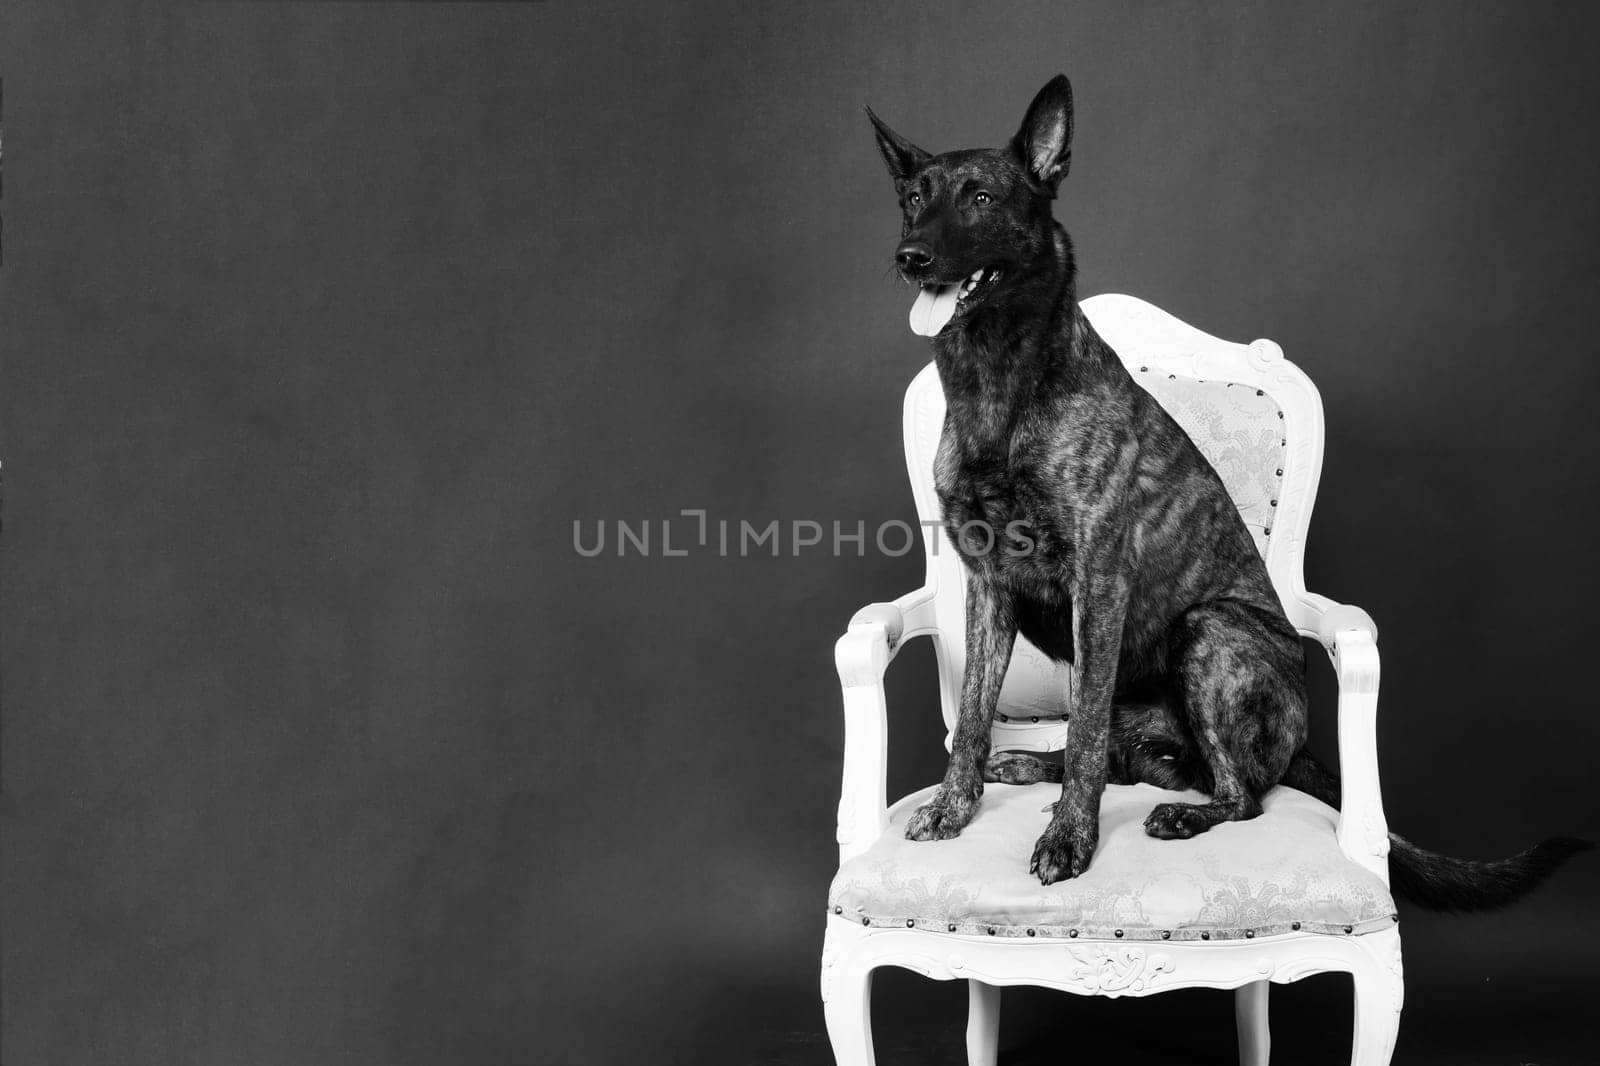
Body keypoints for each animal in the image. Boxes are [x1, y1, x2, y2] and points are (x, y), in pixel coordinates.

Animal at [870, 74, 1593, 896]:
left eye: (983, 198)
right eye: (913, 198)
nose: (910, 256)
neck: (1000, 382)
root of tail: (1302, 741)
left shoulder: (1099, 584)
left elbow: (1081, 733)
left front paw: (1068, 841)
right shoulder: (989, 588)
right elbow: (973, 716)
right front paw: (954, 806)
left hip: (1209, 633)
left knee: (1231, 790)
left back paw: (1177, 815)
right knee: (1127, 759)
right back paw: (1028, 762)